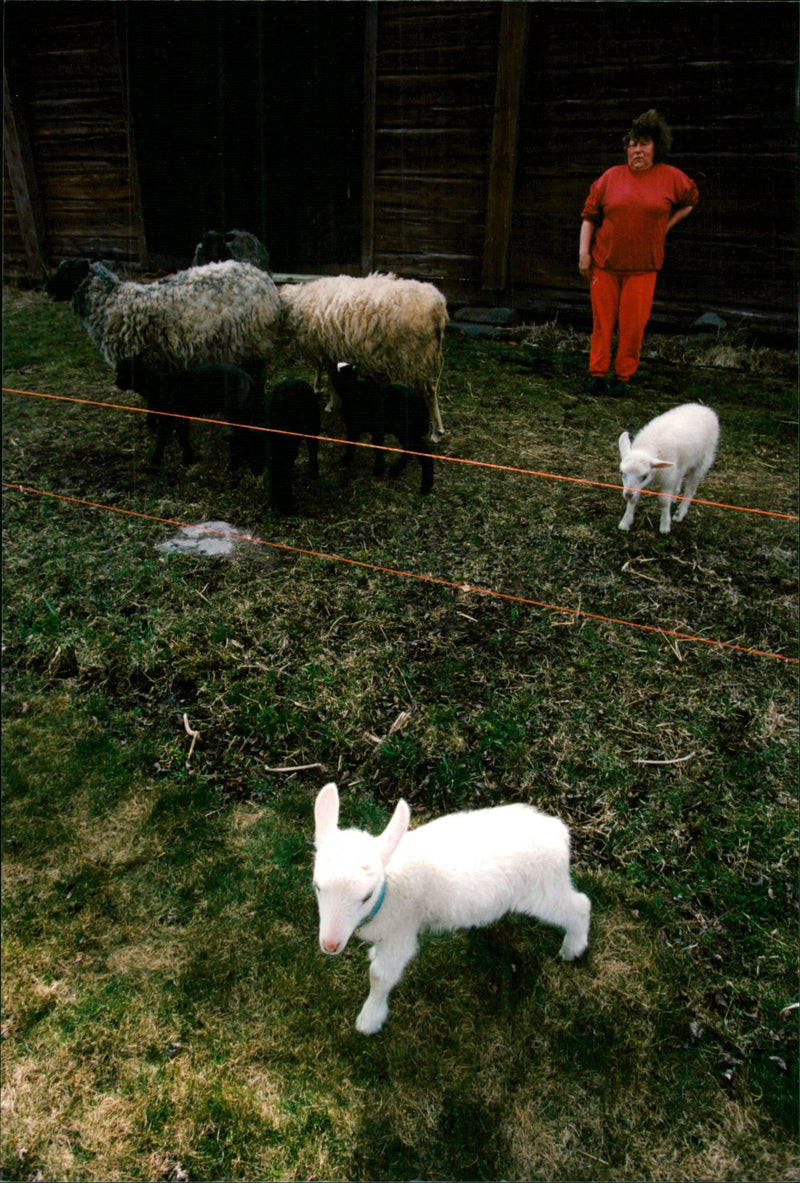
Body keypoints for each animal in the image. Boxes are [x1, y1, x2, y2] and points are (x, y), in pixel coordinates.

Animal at [115, 355, 265, 472]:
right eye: (117, 371)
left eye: (123, 372)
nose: (116, 382)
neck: (155, 384)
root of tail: (249, 379)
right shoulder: (182, 416)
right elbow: (183, 436)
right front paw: (189, 459)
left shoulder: (170, 416)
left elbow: (165, 438)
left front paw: (156, 460)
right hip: (245, 411)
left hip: (236, 412)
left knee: (242, 437)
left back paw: (235, 466)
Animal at [278, 272, 448, 441]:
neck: (298, 301)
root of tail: (438, 306)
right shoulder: (330, 349)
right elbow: (329, 374)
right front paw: (331, 399)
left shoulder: (325, 347)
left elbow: (329, 376)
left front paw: (331, 402)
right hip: (424, 354)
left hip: (417, 355)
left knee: (429, 391)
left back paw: (437, 431)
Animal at [313, 782, 591, 1034]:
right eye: (317, 886)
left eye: (366, 896)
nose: (330, 945)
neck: (388, 886)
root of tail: (559, 832)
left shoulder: (402, 930)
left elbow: (380, 975)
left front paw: (370, 1019)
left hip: (543, 889)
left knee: (579, 906)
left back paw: (573, 947)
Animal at [330, 363, 434, 495]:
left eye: (341, 370)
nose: (331, 370)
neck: (354, 391)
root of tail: (423, 405)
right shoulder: (354, 427)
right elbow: (351, 443)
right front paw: (346, 461)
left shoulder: (376, 426)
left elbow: (376, 445)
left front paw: (378, 470)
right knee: (418, 450)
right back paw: (423, 486)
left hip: (404, 428)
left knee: (416, 449)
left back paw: (400, 473)